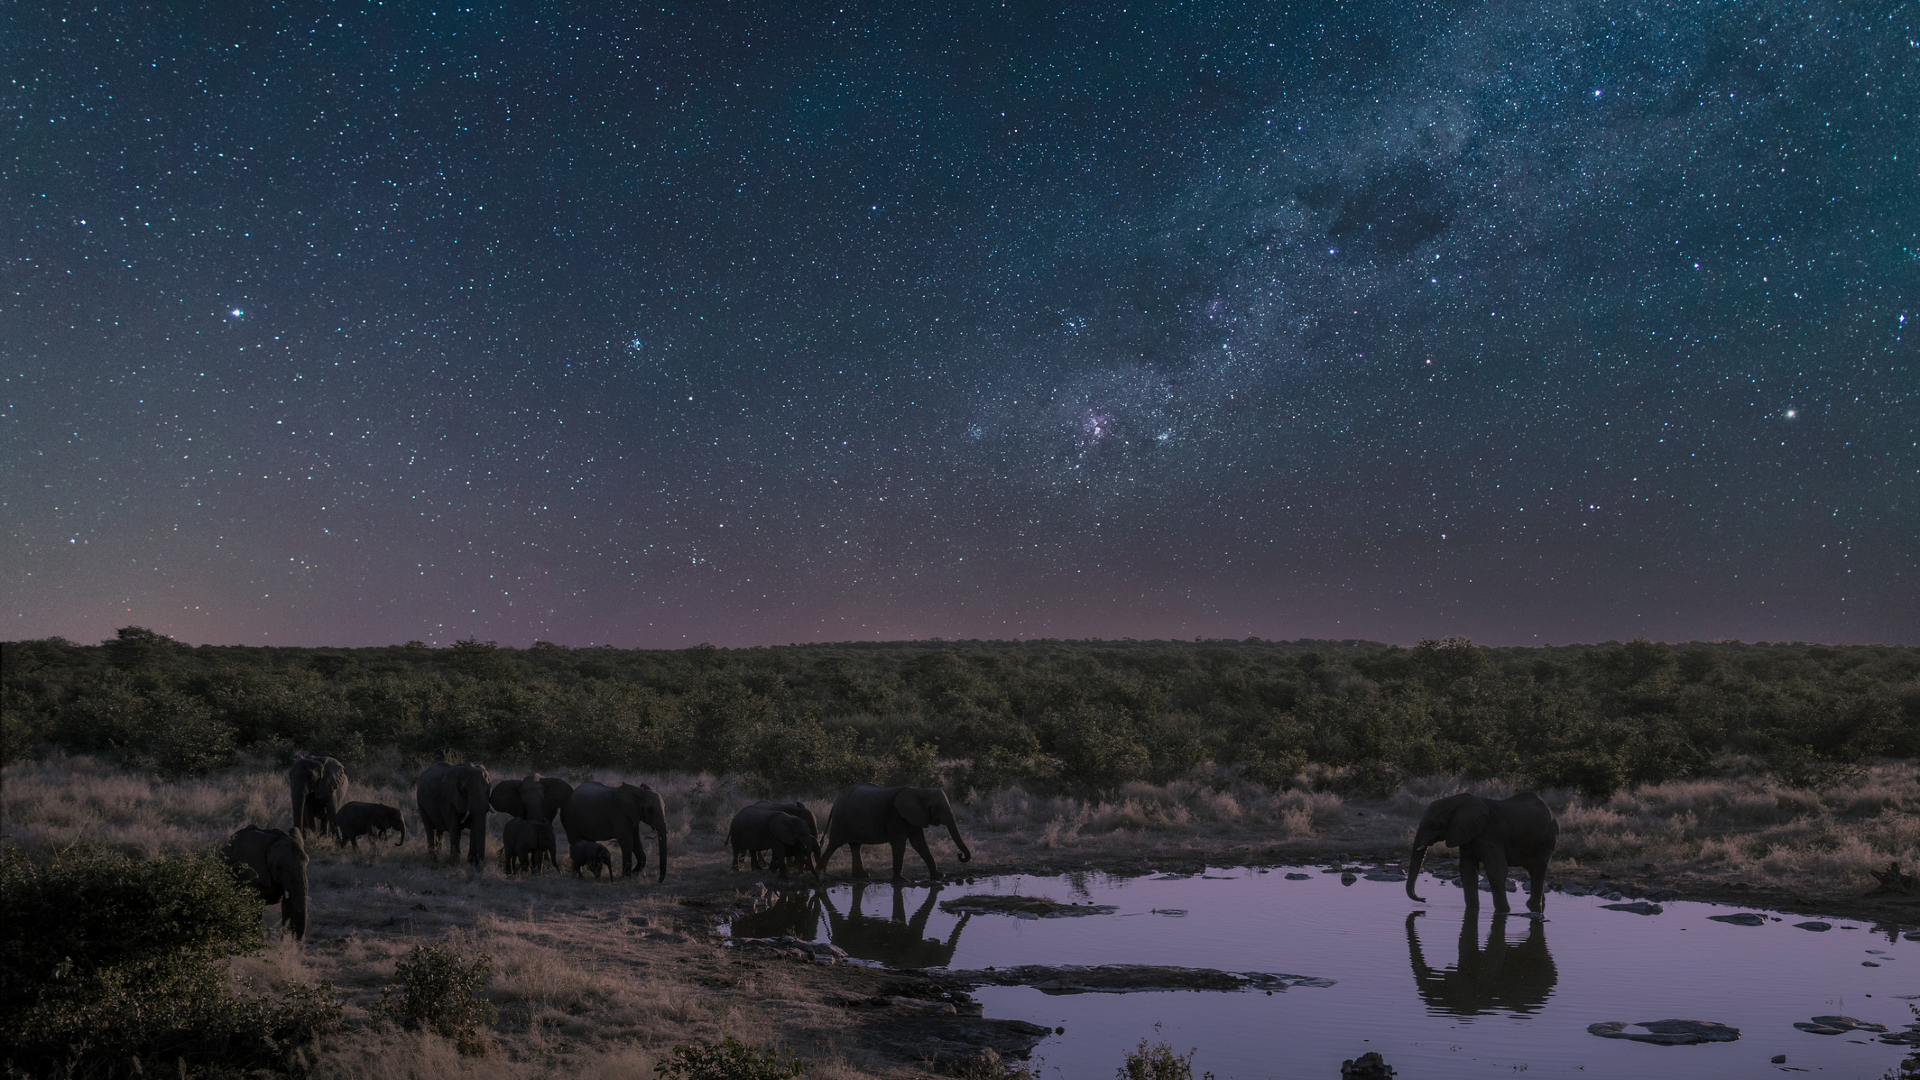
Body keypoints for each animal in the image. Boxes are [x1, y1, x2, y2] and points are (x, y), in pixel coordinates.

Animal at [820, 784, 971, 881]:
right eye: (938, 808)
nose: (959, 854)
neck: (920, 791)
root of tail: (837, 799)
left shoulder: (915, 816)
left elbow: (919, 844)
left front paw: (939, 876)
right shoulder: (896, 816)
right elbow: (899, 844)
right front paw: (902, 880)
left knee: (855, 846)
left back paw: (862, 876)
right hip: (840, 820)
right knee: (834, 844)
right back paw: (822, 873)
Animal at [1406, 792, 1558, 914]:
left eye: (1432, 824)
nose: (1424, 900)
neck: (1458, 801)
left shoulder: (1491, 833)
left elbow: (1497, 869)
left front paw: (1504, 911)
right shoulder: (1466, 834)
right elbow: (1467, 871)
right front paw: (1472, 910)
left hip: (1547, 838)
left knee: (1538, 868)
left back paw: (1533, 906)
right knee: (1533, 871)